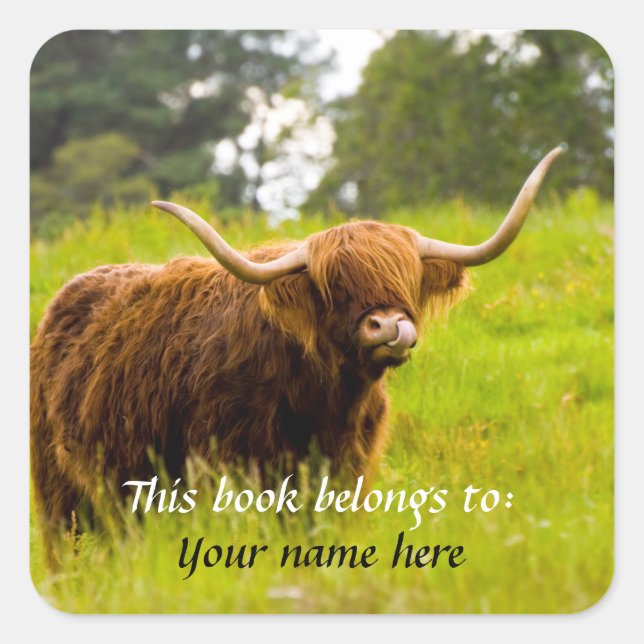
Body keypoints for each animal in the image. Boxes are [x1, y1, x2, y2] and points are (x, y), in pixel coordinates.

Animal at [30, 147, 562, 549]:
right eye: (335, 286)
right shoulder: (228, 469)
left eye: (406, 280)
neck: (324, 398)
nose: (389, 326)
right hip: (62, 495)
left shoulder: (347, 473)